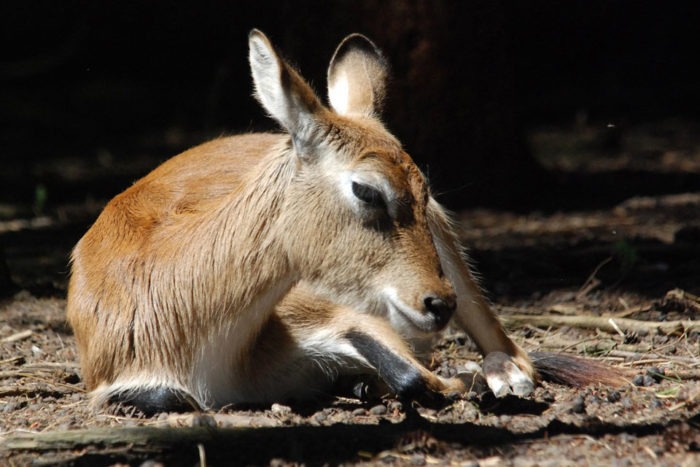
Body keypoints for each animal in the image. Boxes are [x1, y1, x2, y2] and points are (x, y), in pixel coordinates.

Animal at [68, 31, 620, 414]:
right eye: (367, 189)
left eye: (423, 188)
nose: (438, 304)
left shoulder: (339, 312)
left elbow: (421, 377)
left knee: (508, 348)